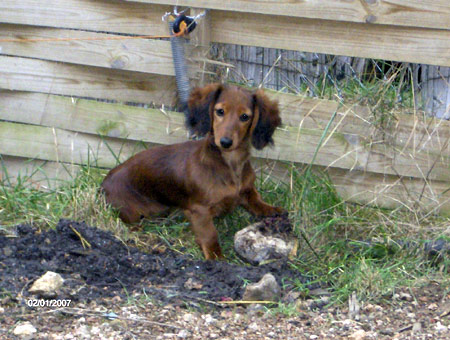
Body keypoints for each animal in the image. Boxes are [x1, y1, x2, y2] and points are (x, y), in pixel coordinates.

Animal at [102, 83, 284, 258]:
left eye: (245, 116)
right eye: (220, 111)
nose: (225, 142)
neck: (230, 163)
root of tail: (105, 183)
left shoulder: (247, 189)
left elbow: (256, 200)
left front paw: (272, 210)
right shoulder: (199, 210)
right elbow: (210, 234)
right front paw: (217, 258)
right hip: (136, 213)